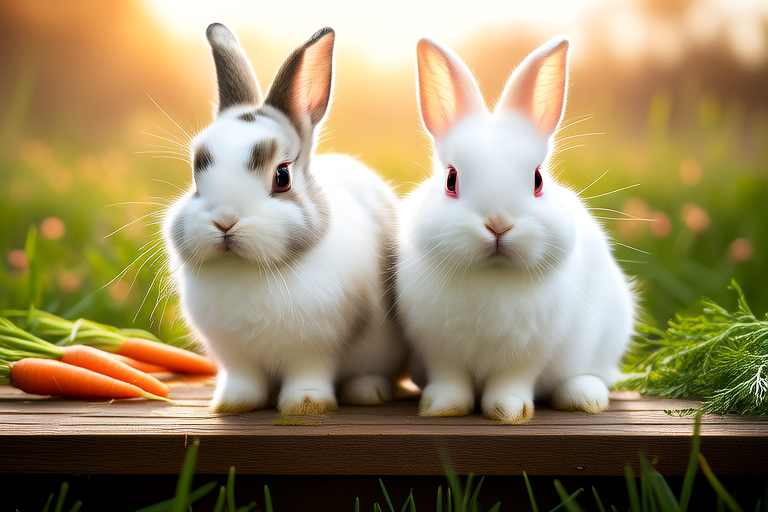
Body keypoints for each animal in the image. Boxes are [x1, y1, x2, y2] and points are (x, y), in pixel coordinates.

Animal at [163, 23, 405, 414]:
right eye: (196, 174)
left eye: (282, 176)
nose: (225, 221)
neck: (248, 269)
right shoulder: (234, 354)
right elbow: (244, 378)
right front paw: (233, 403)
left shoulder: (316, 346)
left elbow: (308, 374)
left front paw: (305, 405)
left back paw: (368, 392)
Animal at [396, 35, 636, 424]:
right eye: (451, 180)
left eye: (538, 180)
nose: (498, 225)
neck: (492, 276)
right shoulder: (437, 350)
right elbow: (450, 380)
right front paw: (442, 408)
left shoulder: (527, 353)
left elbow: (511, 382)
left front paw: (507, 411)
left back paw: (584, 397)